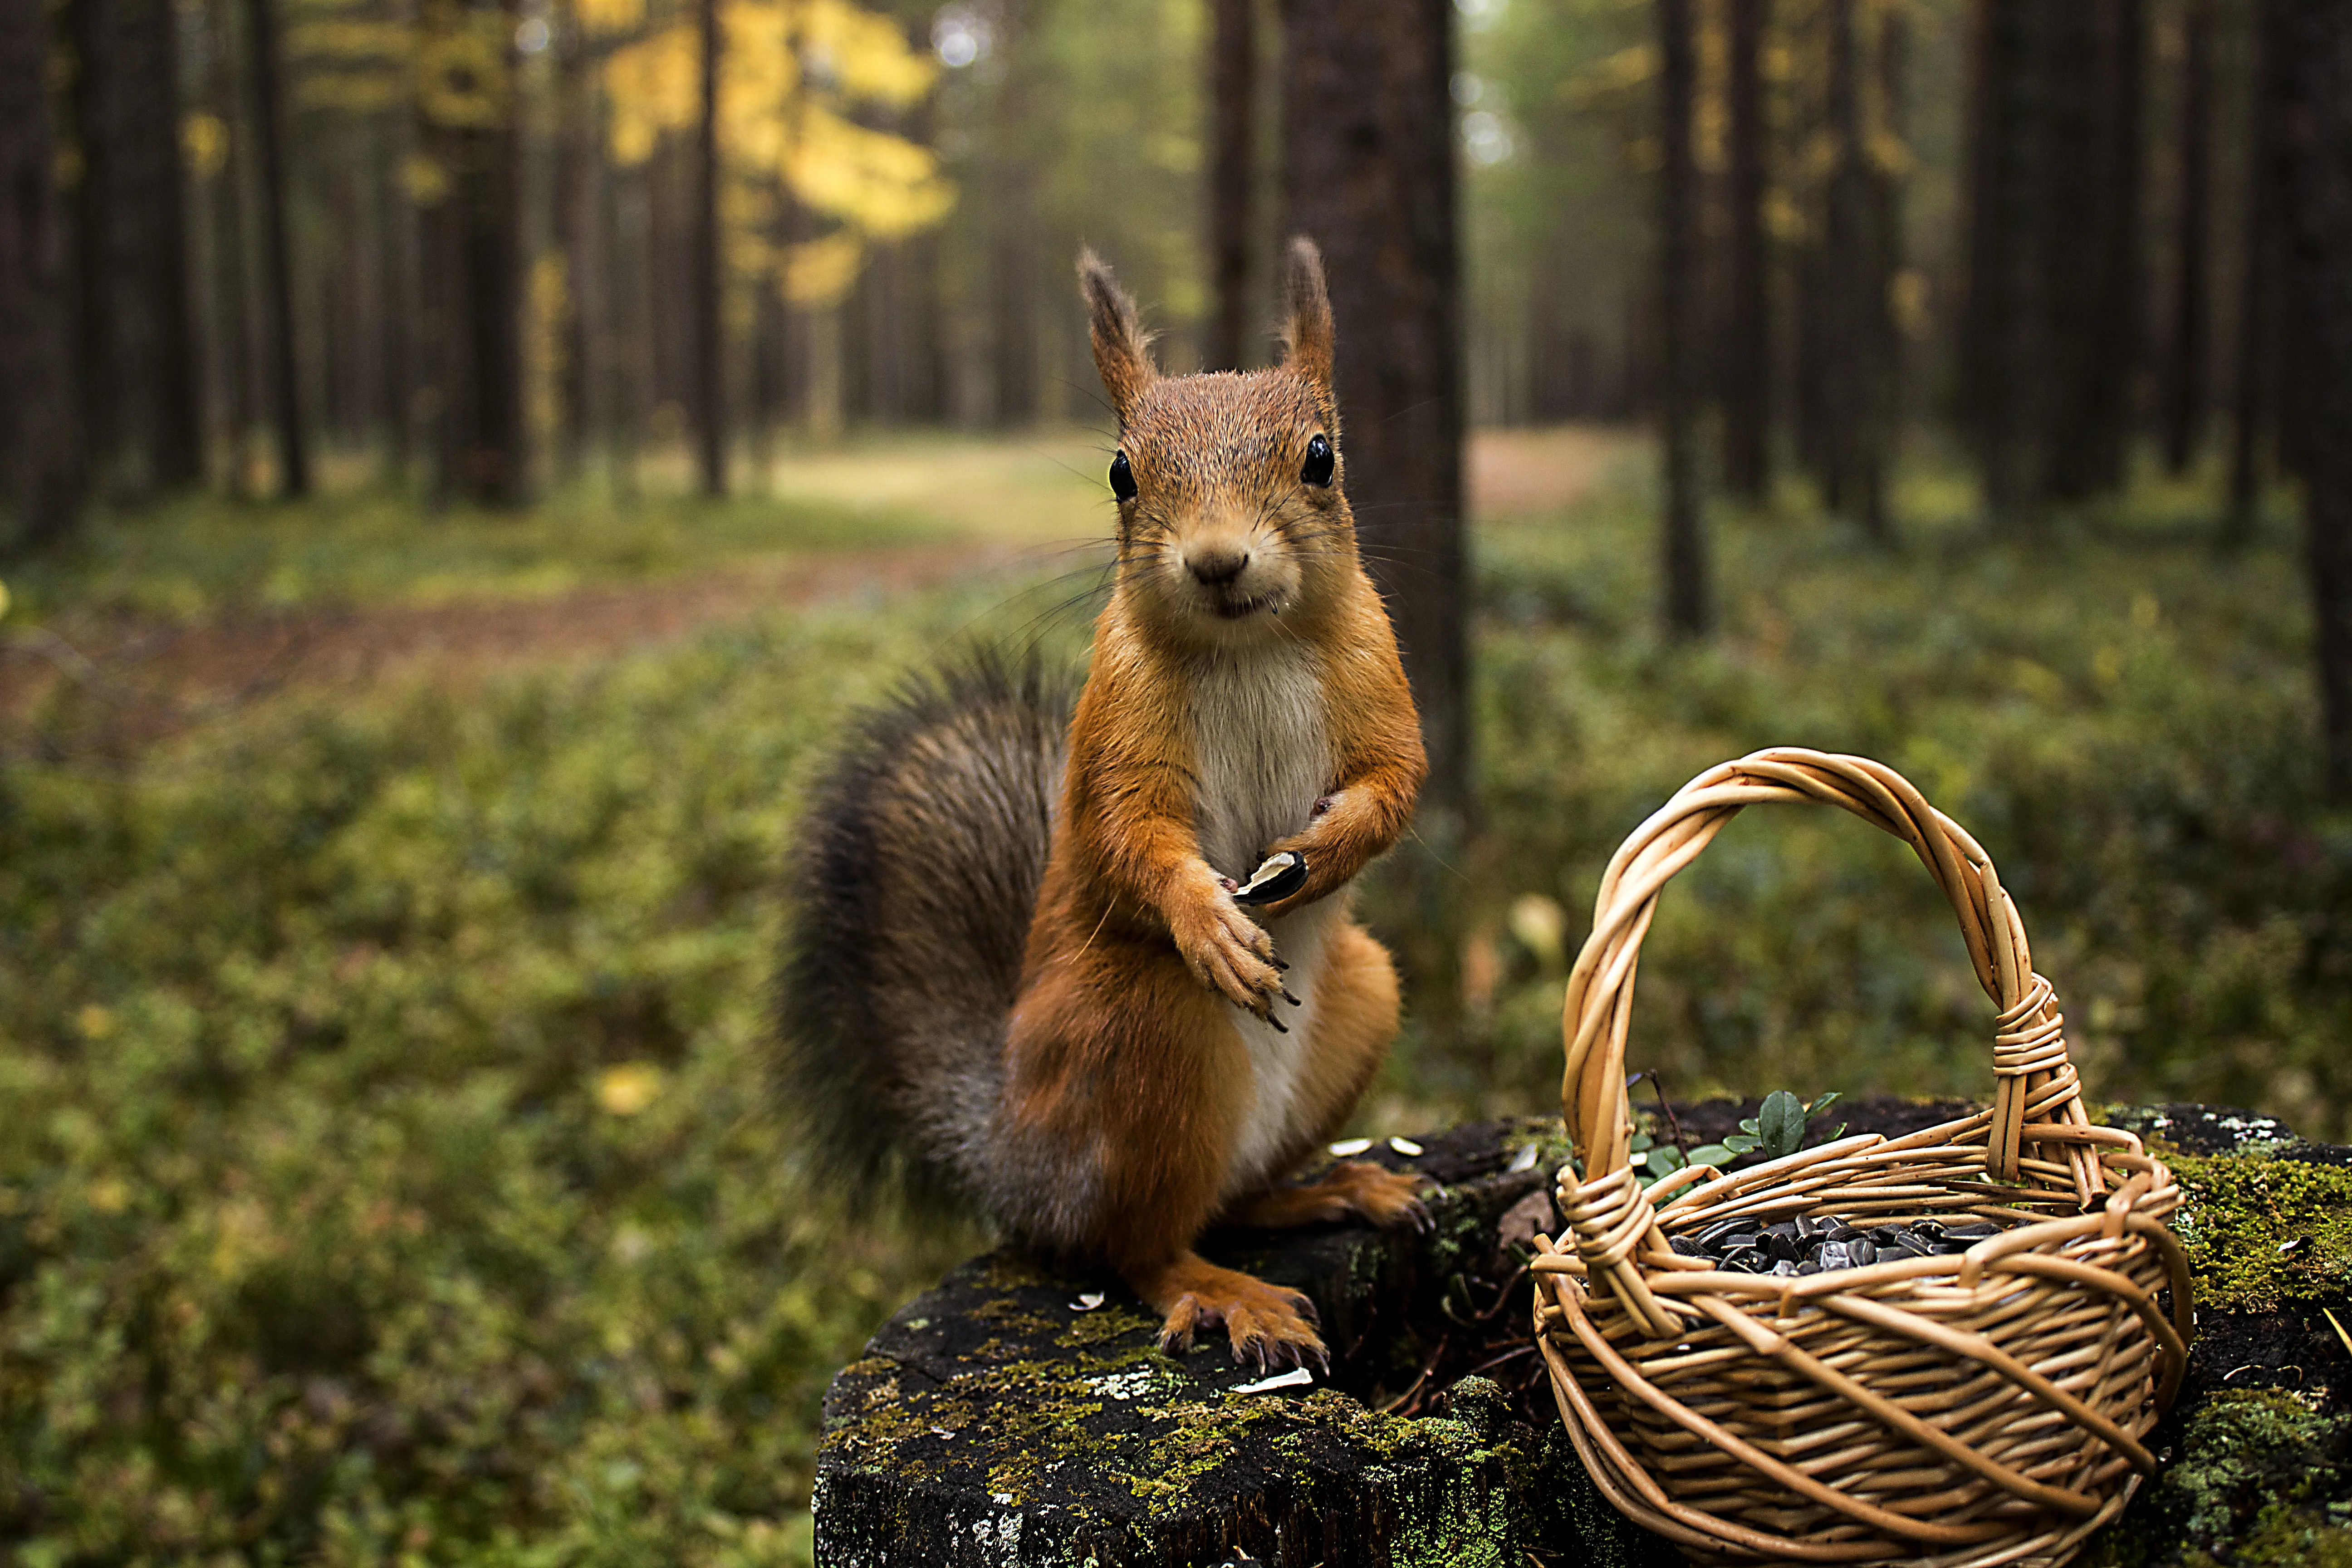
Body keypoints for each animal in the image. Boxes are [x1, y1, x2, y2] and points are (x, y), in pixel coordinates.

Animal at [781, 236, 1421, 1372]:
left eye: (1321, 457)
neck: (1250, 646)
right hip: (1144, 1034)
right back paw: (1225, 1291)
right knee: (1136, 1245)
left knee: (1231, 1201)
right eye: (1123, 473)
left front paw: (1323, 854)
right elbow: (1131, 836)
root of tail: (1015, 1163)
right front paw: (1211, 922)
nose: (1217, 560)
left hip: (1362, 1000)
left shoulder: (1379, 679)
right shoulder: (1118, 728)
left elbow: (1396, 783)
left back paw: (1331, 1190)